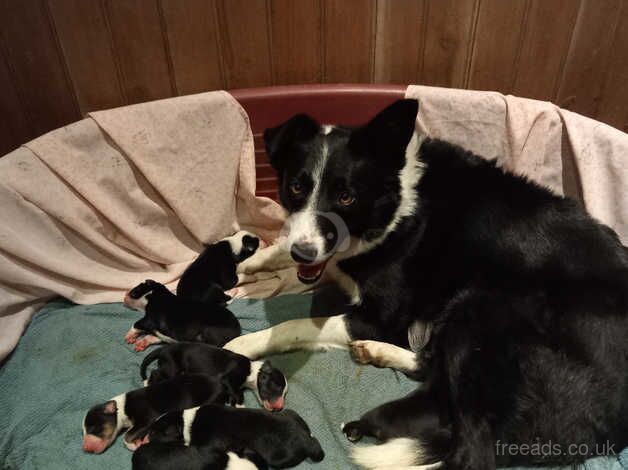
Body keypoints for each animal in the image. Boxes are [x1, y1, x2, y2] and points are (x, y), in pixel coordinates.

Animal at [81, 372, 231, 454]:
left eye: (93, 428)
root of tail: (221, 383)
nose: (86, 449)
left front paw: (134, 445)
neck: (122, 408)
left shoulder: (146, 418)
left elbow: (127, 436)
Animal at [140, 342, 288, 412]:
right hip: (172, 366)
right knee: (155, 373)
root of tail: (163, 349)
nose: (280, 407)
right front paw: (241, 406)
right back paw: (147, 383)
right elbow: (239, 394)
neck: (252, 369)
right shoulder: (228, 379)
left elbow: (234, 394)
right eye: (277, 387)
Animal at [143, 406, 324, 468]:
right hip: (291, 413)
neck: (185, 421)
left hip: (278, 458)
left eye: (154, 433)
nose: (146, 439)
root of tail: (306, 439)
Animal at [224, 100, 628, 470]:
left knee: (471, 453)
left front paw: (241, 345)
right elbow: (282, 251)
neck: (393, 205)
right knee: (431, 371)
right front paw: (251, 263)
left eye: (346, 197)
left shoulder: (378, 317)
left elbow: (291, 326)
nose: (304, 253)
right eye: (296, 187)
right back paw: (377, 353)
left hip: (482, 307)